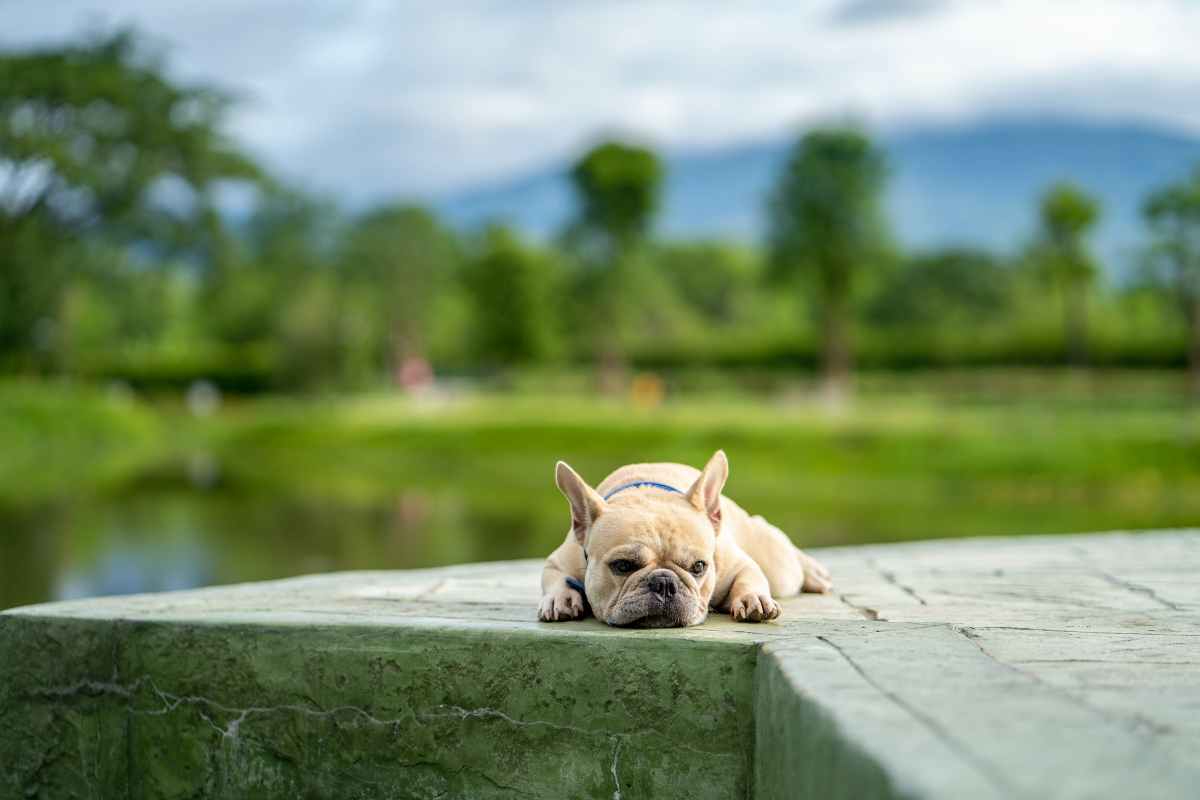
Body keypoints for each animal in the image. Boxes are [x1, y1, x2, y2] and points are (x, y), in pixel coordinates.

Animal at [540, 450, 830, 623]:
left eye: (699, 567)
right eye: (622, 566)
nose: (664, 583)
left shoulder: (737, 563)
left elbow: (749, 576)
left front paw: (753, 598)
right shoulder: (559, 560)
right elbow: (554, 577)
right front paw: (560, 599)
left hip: (778, 566)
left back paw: (813, 572)